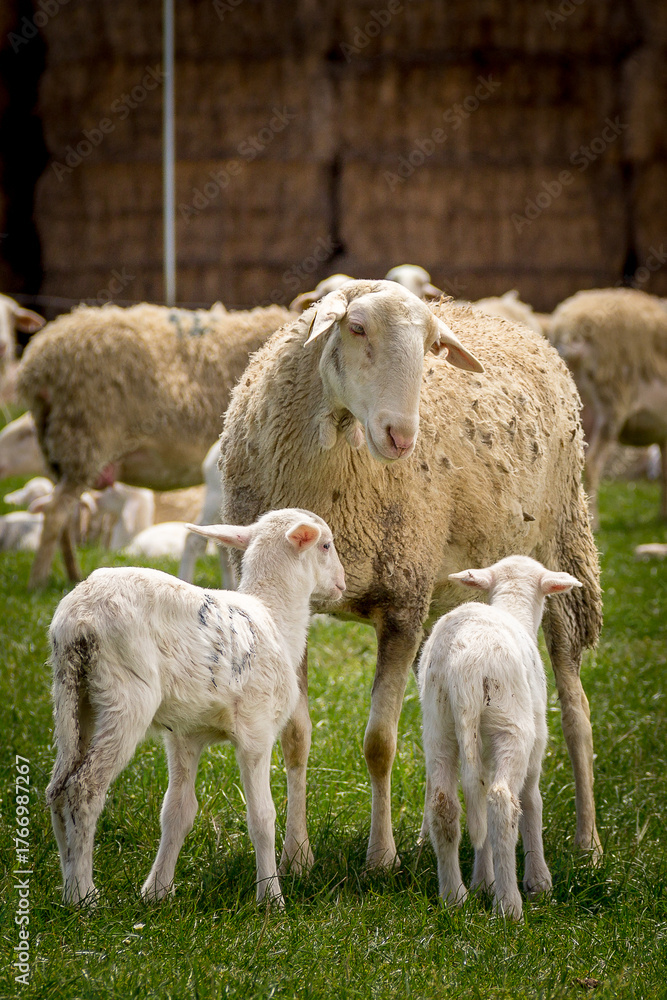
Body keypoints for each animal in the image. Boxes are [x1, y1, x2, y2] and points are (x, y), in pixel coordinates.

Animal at [45, 507, 345, 907]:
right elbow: (262, 816)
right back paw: (84, 896)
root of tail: (78, 618)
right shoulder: (257, 730)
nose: (342, 584)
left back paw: (67, 887)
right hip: (126, 695)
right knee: (84, 788)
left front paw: (157, 892)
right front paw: (270, 898)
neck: (276, 618)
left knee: (58, 787)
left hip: (71, 694)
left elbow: (177, 812)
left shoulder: (184, 735)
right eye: (326, 545)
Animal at [218, 279, 603, 874]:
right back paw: (430, 838)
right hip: (445, 593)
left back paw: (588, 844)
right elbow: (297, 738)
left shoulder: (401, 604)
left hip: (561, 556)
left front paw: (381, 857)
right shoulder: (300, 609)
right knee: (442, 732)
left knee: (576, 712)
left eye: (429, 347)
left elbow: (380, 743)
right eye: (355, 328)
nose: (401, 437)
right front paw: (297, 856)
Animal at [418, 555, 582, 920]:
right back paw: (509, 906)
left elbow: (476, 802)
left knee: (444, 804)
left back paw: (454, 897)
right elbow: (532, 802)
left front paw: (483, 882)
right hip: (511, 725)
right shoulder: (536, 745)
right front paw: (538, 881)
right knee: (502, 801)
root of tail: (462, 665)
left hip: (439, 723)